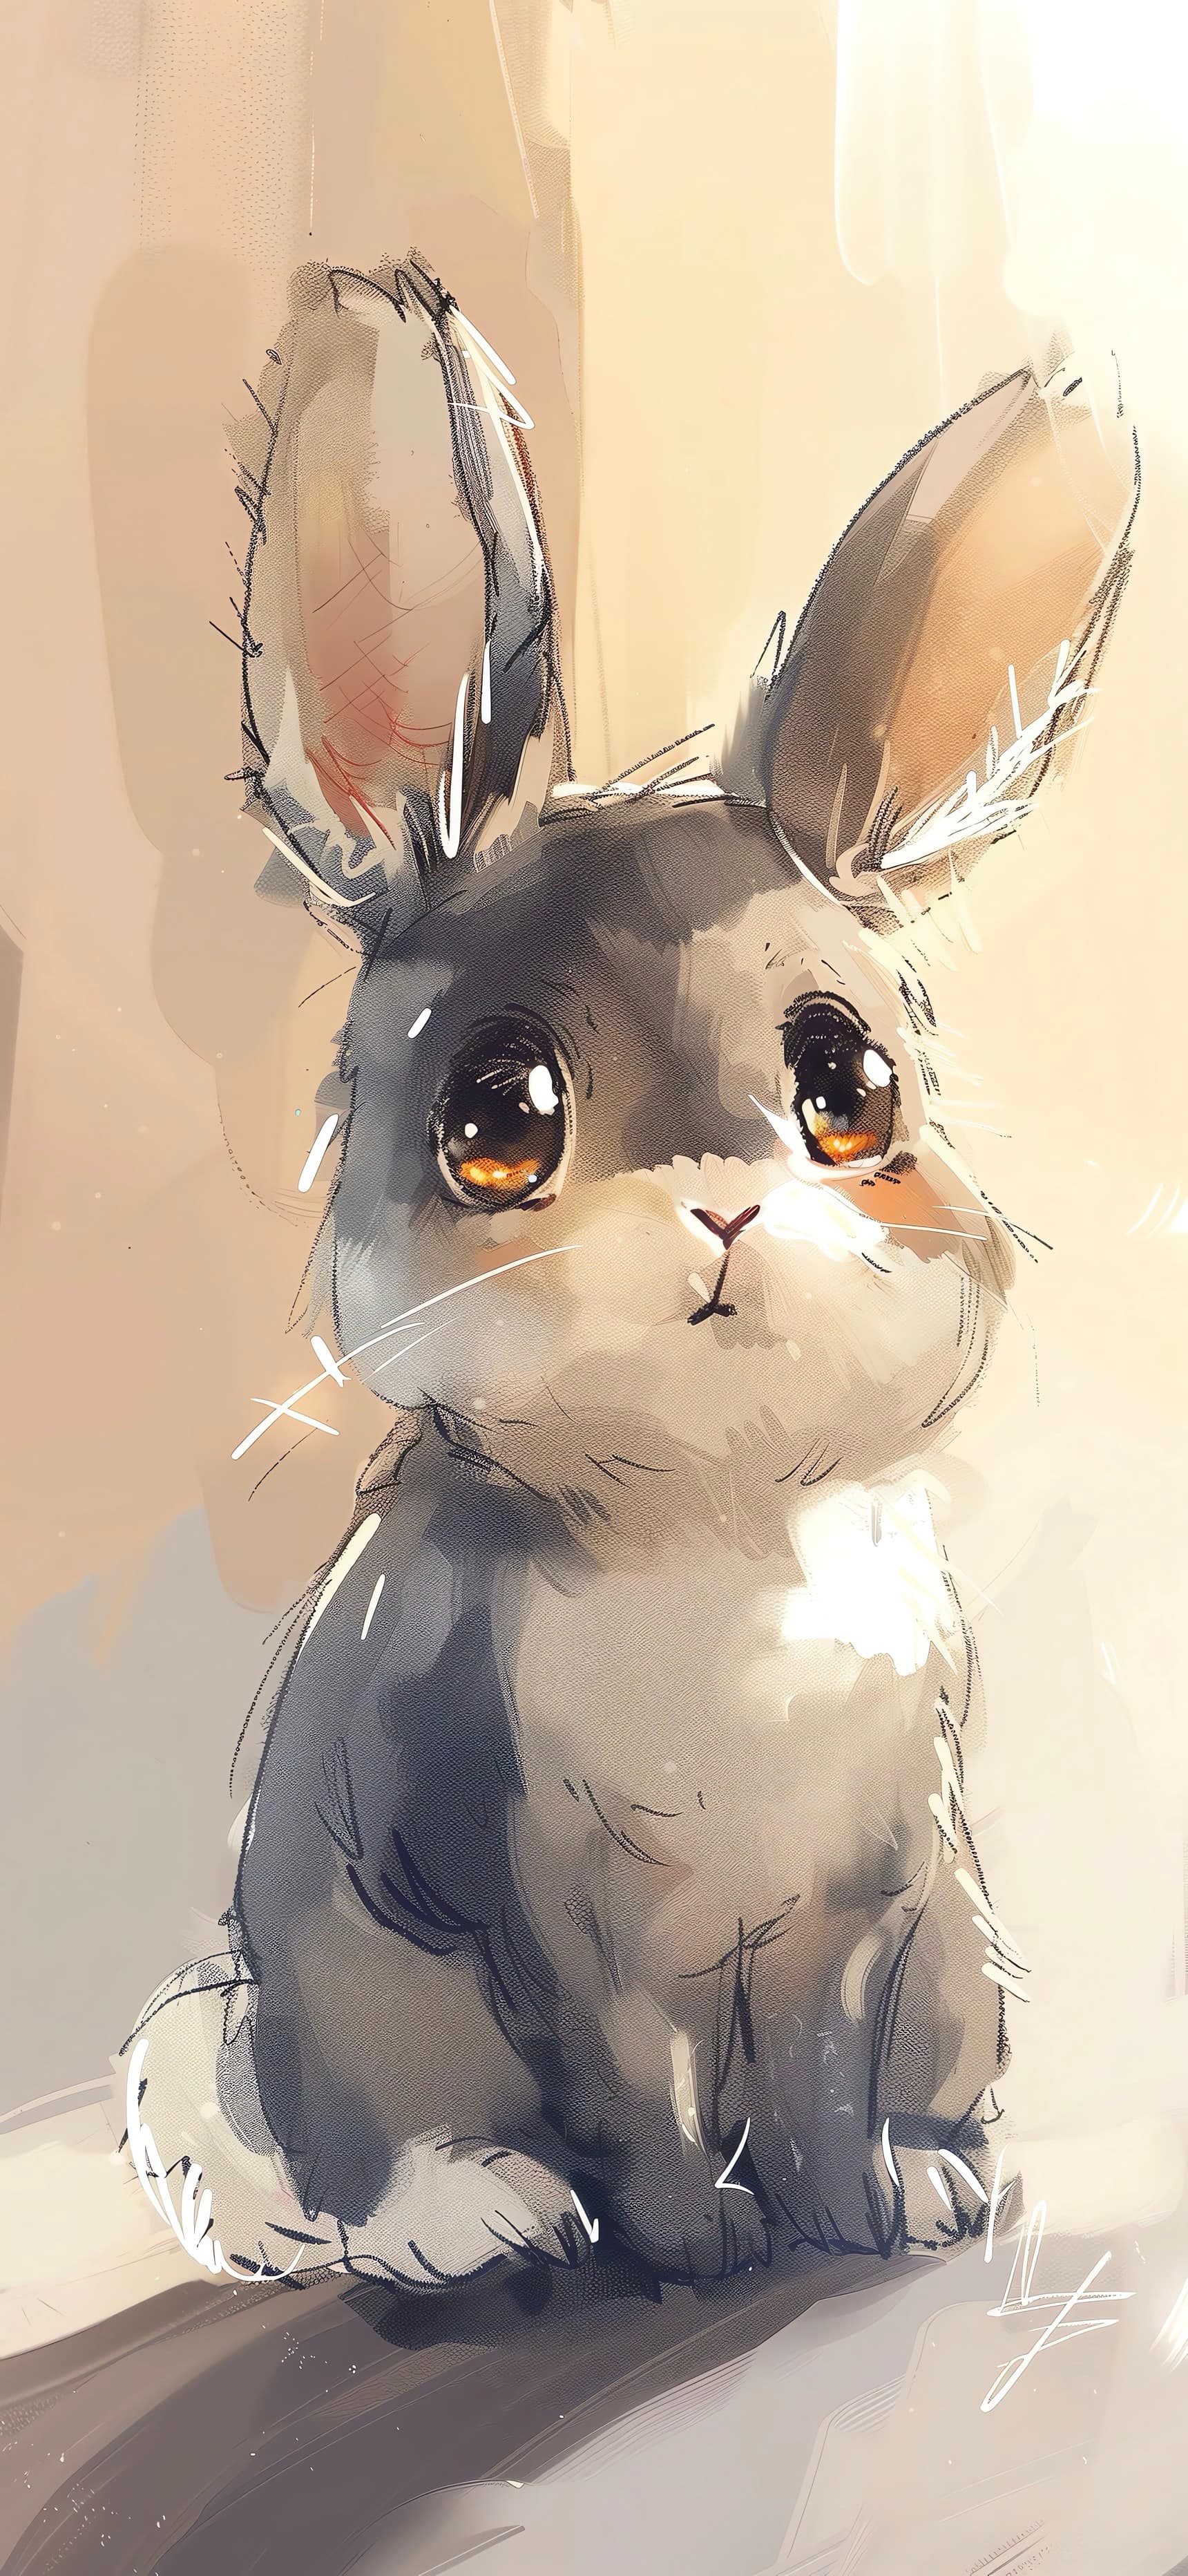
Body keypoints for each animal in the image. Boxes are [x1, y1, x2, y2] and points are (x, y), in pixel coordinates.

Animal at [125, 257, 1137, 2293]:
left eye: (849, 1088)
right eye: (498, 1114)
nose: (725, 1215)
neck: (710, 1526)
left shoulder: (870, 1897)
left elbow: (819, 2069)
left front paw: (855, 2214)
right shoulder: (549, 1912)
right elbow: (636, 2093)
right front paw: (690, 2251)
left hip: (960, 1968)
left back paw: (931, 2172)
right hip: (321, 2028)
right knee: (363, 2175)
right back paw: (479, 2223)